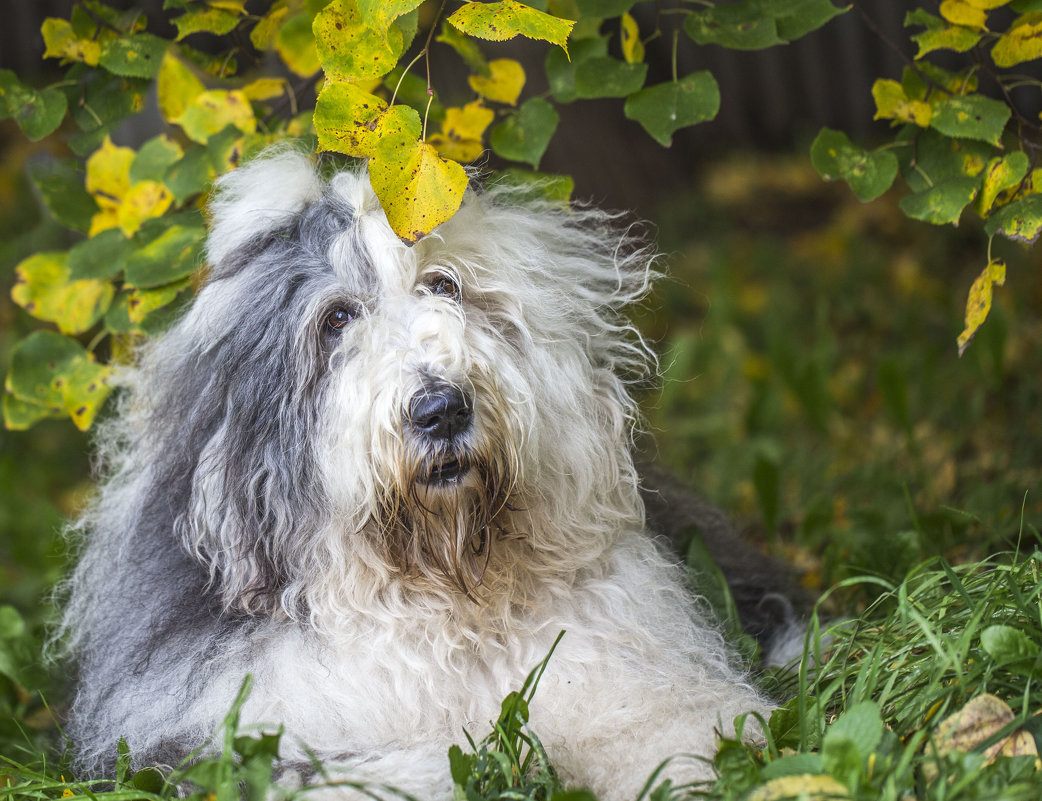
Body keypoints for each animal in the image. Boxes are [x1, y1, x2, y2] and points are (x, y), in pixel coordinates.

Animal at [60, 152, 791, 799]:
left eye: (444, 285)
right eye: (337, 318)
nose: (442, 409)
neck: (447, 592)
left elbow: (656, 719)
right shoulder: (208, 731)